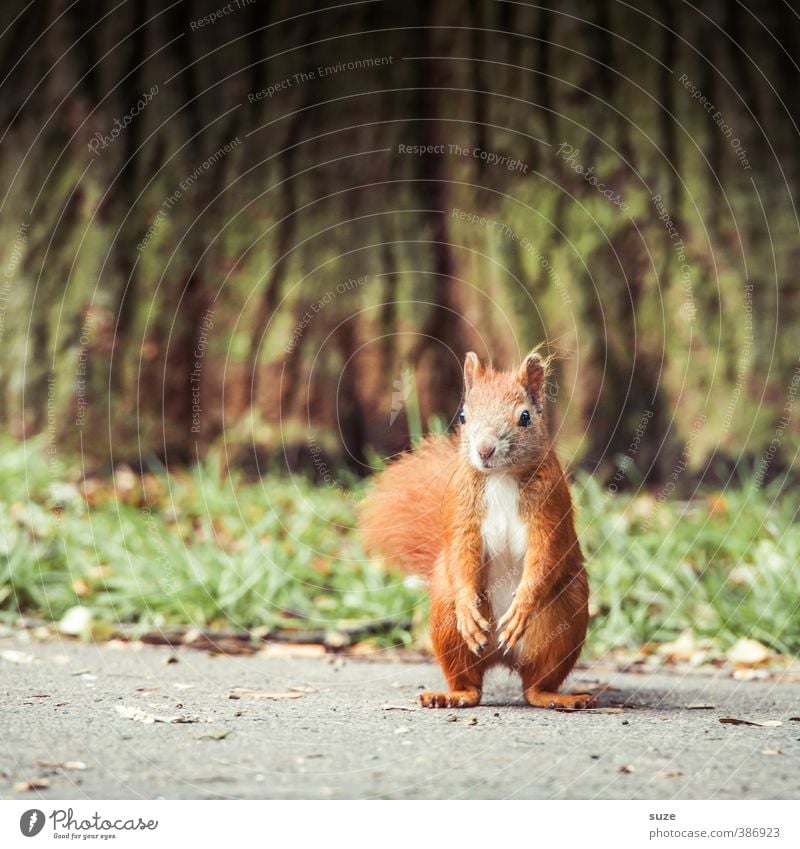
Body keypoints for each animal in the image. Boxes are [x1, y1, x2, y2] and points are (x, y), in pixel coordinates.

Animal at [360, 350, 592, 708]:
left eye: (525, 417)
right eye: (463, 416)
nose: (484, 449)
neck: (501, 477)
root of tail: (501, 655)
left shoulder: (551, 507)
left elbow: (545, 553)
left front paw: (521, 606)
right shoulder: (461, 511)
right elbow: (461, 551)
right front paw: (468, 609)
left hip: (564, 618)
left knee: (536, 682)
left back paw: (554, 696)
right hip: (446, 617)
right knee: (470, 681)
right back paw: (453, 694)